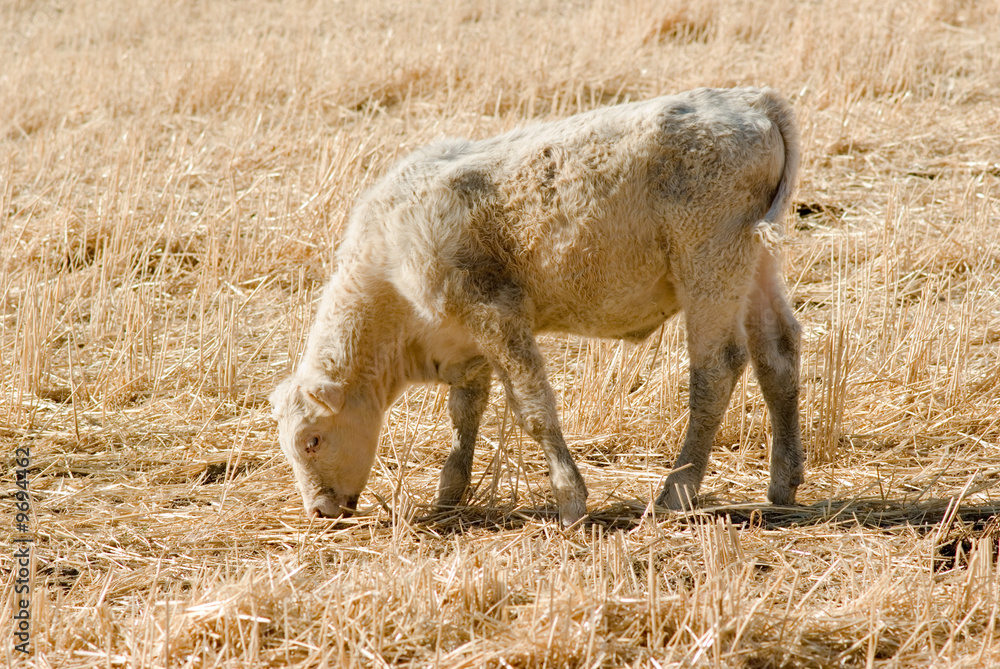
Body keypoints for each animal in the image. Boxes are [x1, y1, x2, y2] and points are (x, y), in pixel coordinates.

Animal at [269, 87, 803, 527]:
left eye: (311, 440)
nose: (319, 510)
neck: (389, 259)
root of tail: (753, 101)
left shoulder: (496, 315)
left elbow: (533, 409)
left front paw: (569, 501)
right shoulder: (467, 344)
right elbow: (465, 414)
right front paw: (449, 494)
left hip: (710, 267)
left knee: (715, 371)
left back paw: (675, 493)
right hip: (756, 267)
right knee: (778, 357)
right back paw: (783, 484)